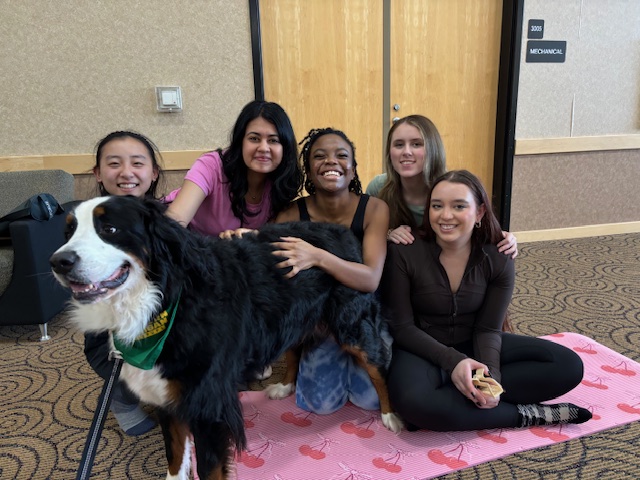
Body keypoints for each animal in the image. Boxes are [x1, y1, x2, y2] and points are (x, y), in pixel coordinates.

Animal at [50, 195, 402, 480]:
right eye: (68, 232)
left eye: (109, 229)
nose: (58, 262)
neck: (162, 304)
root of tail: (340, 231)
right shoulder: (167, 397)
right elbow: (175, 458)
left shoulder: (208, 408)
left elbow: (209, 470)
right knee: (295, 349)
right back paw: (285, 385)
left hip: (353, 324)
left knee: (379, 367)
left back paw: (391, 415)